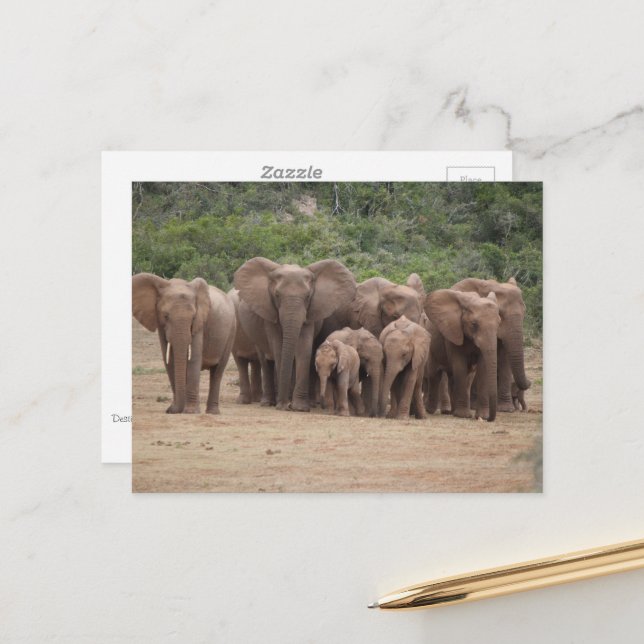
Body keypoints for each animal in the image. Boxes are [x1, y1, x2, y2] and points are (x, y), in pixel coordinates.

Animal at [132, 273, 236, 414]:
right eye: (165, 316)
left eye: (193, 318)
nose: (172, 410)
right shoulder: (160, 324)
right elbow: (169, 360)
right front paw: (173, 410)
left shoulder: (199, 323)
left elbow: (194, 358)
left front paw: (190, 412)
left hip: (231, 331)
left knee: (217, 371)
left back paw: (213, 412)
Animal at [233, 258, 357, 411]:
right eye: (277, 295)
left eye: (308, 296)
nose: (285, 405)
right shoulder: (270, 313)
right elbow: (279, 348)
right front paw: (283, 404)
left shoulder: (311, 312)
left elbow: (304, 348)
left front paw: (299, 407)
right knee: (265, 361)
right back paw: (267, 402)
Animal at [424, 289, 500, 421]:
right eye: (474, 324)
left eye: (499, 323)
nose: (490, 419)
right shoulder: (453, 331)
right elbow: (459, 366)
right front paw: (463, 415)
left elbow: (483, 368)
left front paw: (482, 416)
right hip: (432, 346)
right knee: (434, 375)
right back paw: (431, 410)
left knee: (458, 378)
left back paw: (452, 411)